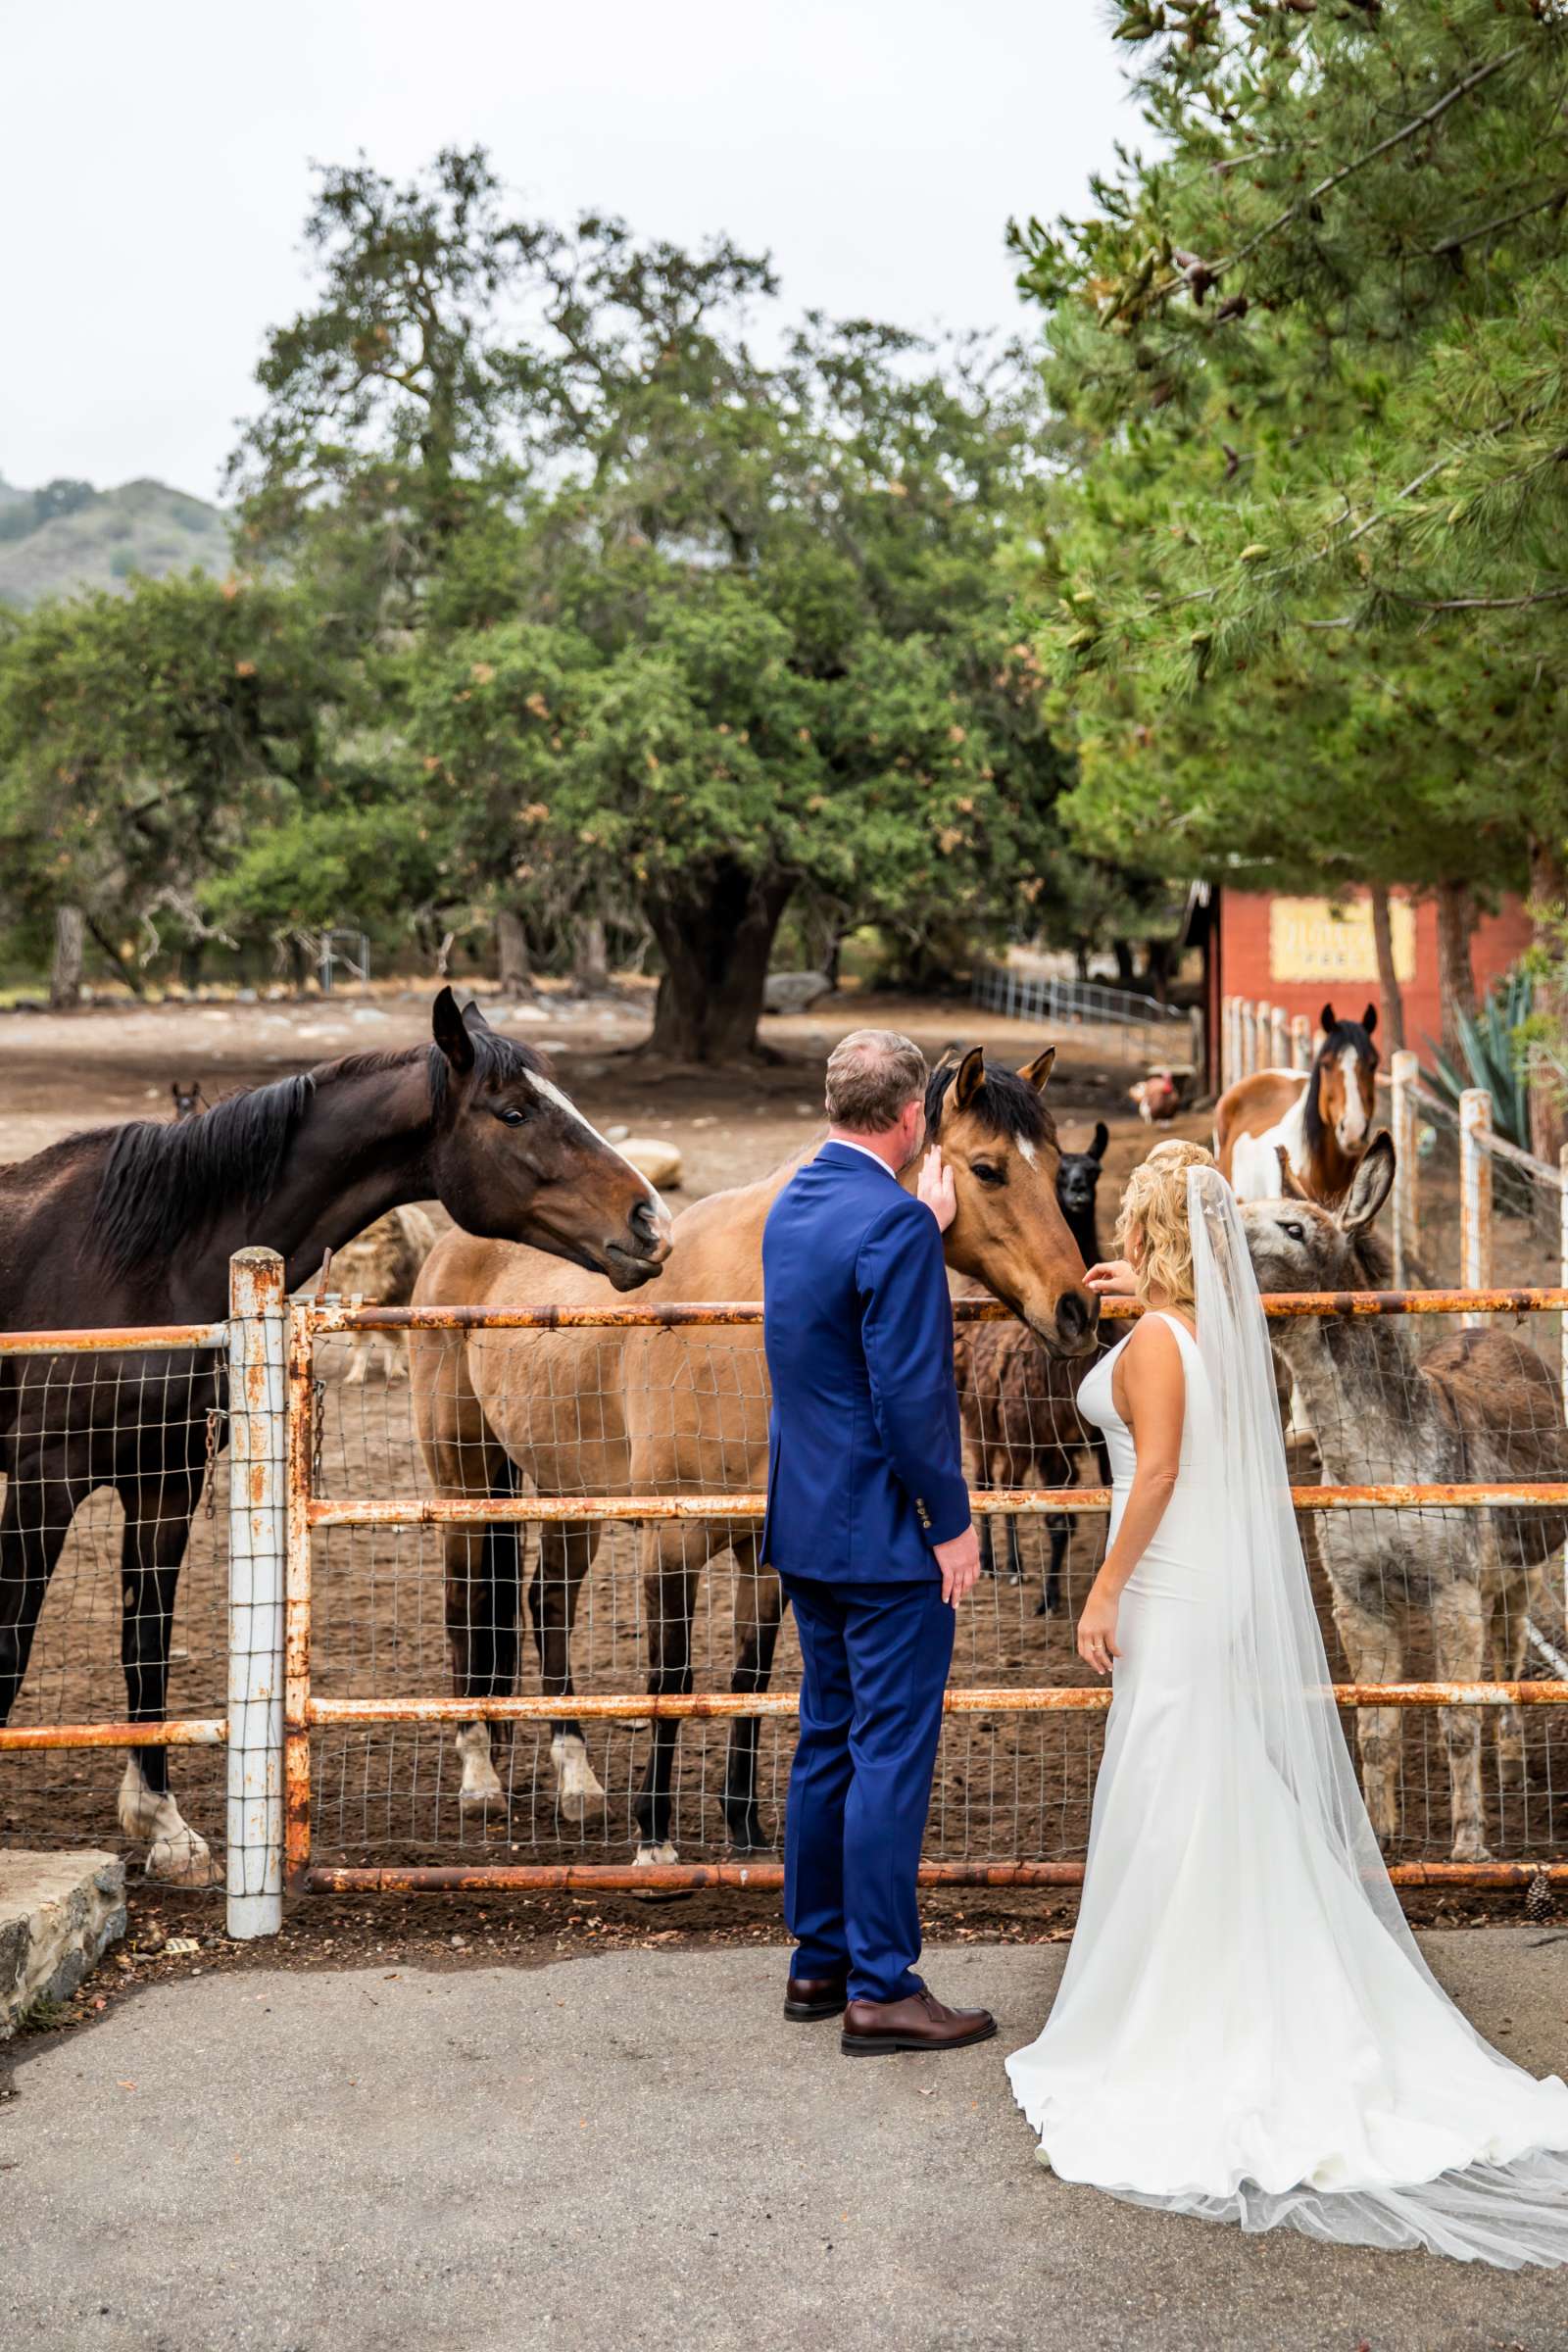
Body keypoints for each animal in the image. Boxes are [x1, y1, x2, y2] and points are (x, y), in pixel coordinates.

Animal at [0, 988, 667, 1872]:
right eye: (514, 1111)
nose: (651, 1221)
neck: (131, 1261)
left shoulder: (164, 1480)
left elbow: (145, 1645)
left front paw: (164, 1826)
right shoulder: (43, 1484)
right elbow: (12, 1645)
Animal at [411, 1044, 1100, 1853]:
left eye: (1054, 1165)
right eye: (989, 1169)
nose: (1077, 1308)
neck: (748, 1311)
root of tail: (455, 1242)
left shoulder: (764, 1549)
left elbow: (749, 1675)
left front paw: (743, 1821)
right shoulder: (672, 1545)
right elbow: (672, 1679)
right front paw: (655, 1834)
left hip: (565, 1494)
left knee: (546, 1603)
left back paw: (577, 1779)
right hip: (463, 1482)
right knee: (466, 1603)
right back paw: (479, 1774)